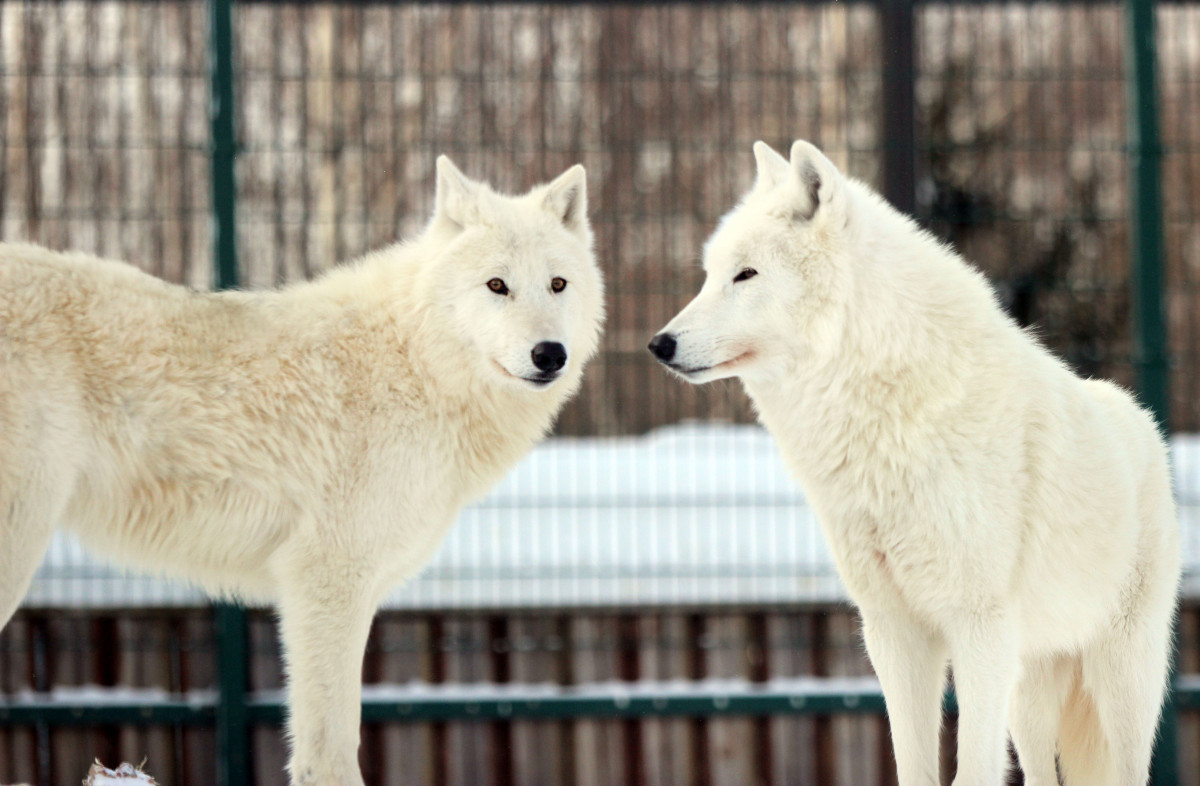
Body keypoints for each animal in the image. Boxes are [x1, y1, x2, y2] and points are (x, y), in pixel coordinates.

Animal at [0, 157, 600, 782]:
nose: (549, 354)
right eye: (497, 285)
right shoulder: (327, 579)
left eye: (558, 284)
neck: (414, 363)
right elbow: (329, 747)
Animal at [652, 141, 1176, 786]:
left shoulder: (977, 625)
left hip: (1120, 685)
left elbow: (972, 769)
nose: (660, 344)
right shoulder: (893, 630)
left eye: (745, 275)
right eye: (709, 275)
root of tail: (1141, 418)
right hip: (1031, 694)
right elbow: (915, 765)